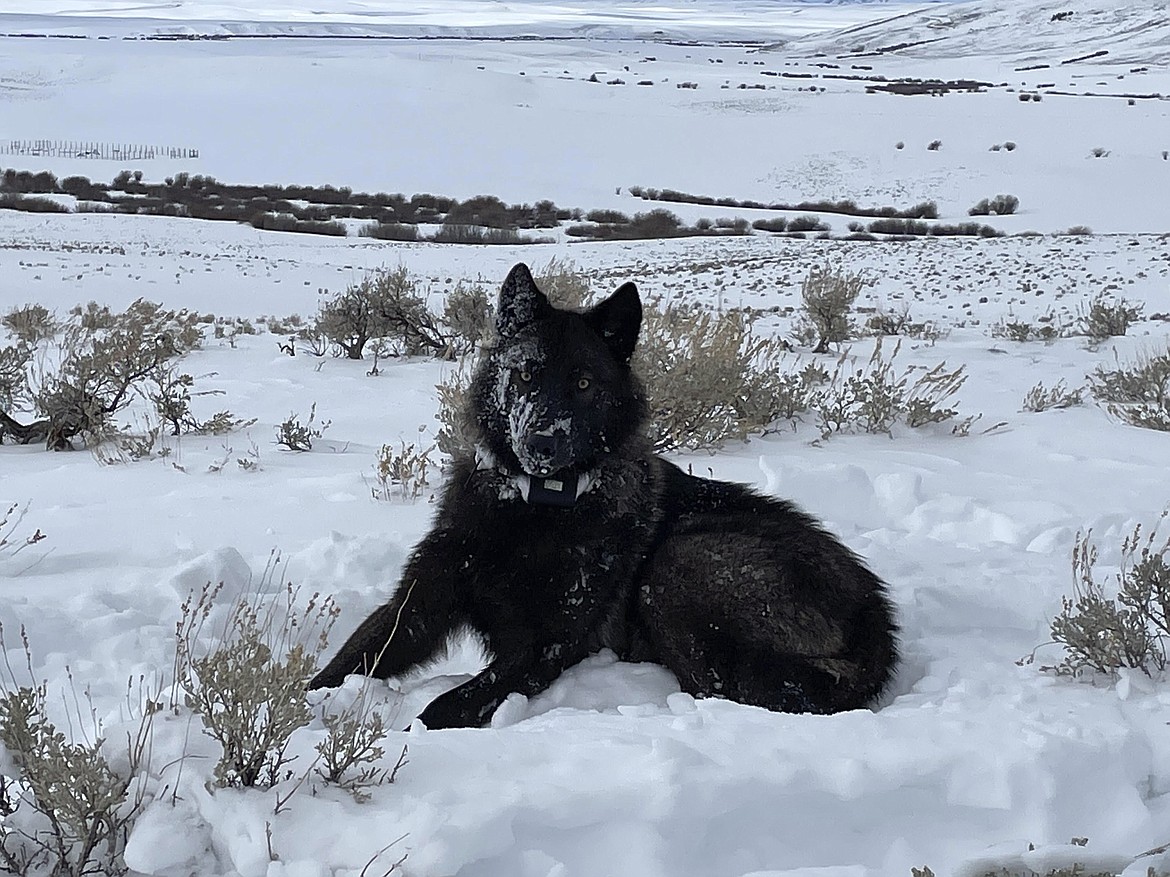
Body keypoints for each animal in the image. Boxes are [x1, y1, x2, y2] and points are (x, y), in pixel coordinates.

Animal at [308, 264, 893, 729]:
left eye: (585, 383)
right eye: (526, 372)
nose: (542, 441)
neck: (535, 509)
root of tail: (877, 619)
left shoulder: (546, 645)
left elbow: (445, 707)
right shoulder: (419, 604)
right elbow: (344, 664)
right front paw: (300, 712)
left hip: (681, 564)